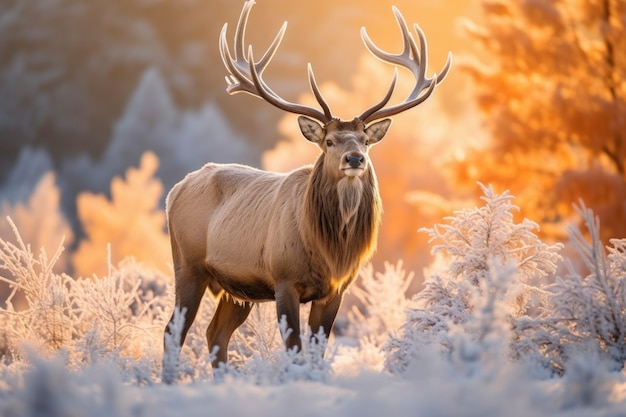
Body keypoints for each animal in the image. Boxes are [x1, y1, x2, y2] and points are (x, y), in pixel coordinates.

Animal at [162, 0, 448, 370]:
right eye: (329, 141)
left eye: (365, 140)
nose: (355, 159)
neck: (330, 249)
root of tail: (174, 191)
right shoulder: (284, 279)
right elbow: (295, 350)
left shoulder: (335, 289)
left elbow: (316, 351)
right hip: (188, 265)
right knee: (173, 331)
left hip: (236, 288)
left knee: (216, 334)